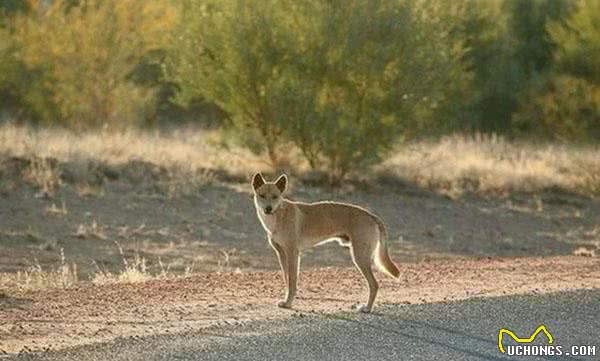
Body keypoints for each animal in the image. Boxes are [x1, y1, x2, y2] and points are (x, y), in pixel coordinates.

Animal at [252, 172, 398, 312]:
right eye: (262, 196)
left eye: (275, 196)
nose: (268, 209)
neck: (278, 217)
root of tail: (372, 216)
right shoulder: (281, 254)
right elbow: (286, 279)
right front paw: (287, 299)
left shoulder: (293, 253)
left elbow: (292, 280)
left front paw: (288, 303)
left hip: (360, 257)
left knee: (374, 284)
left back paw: (367, 308)